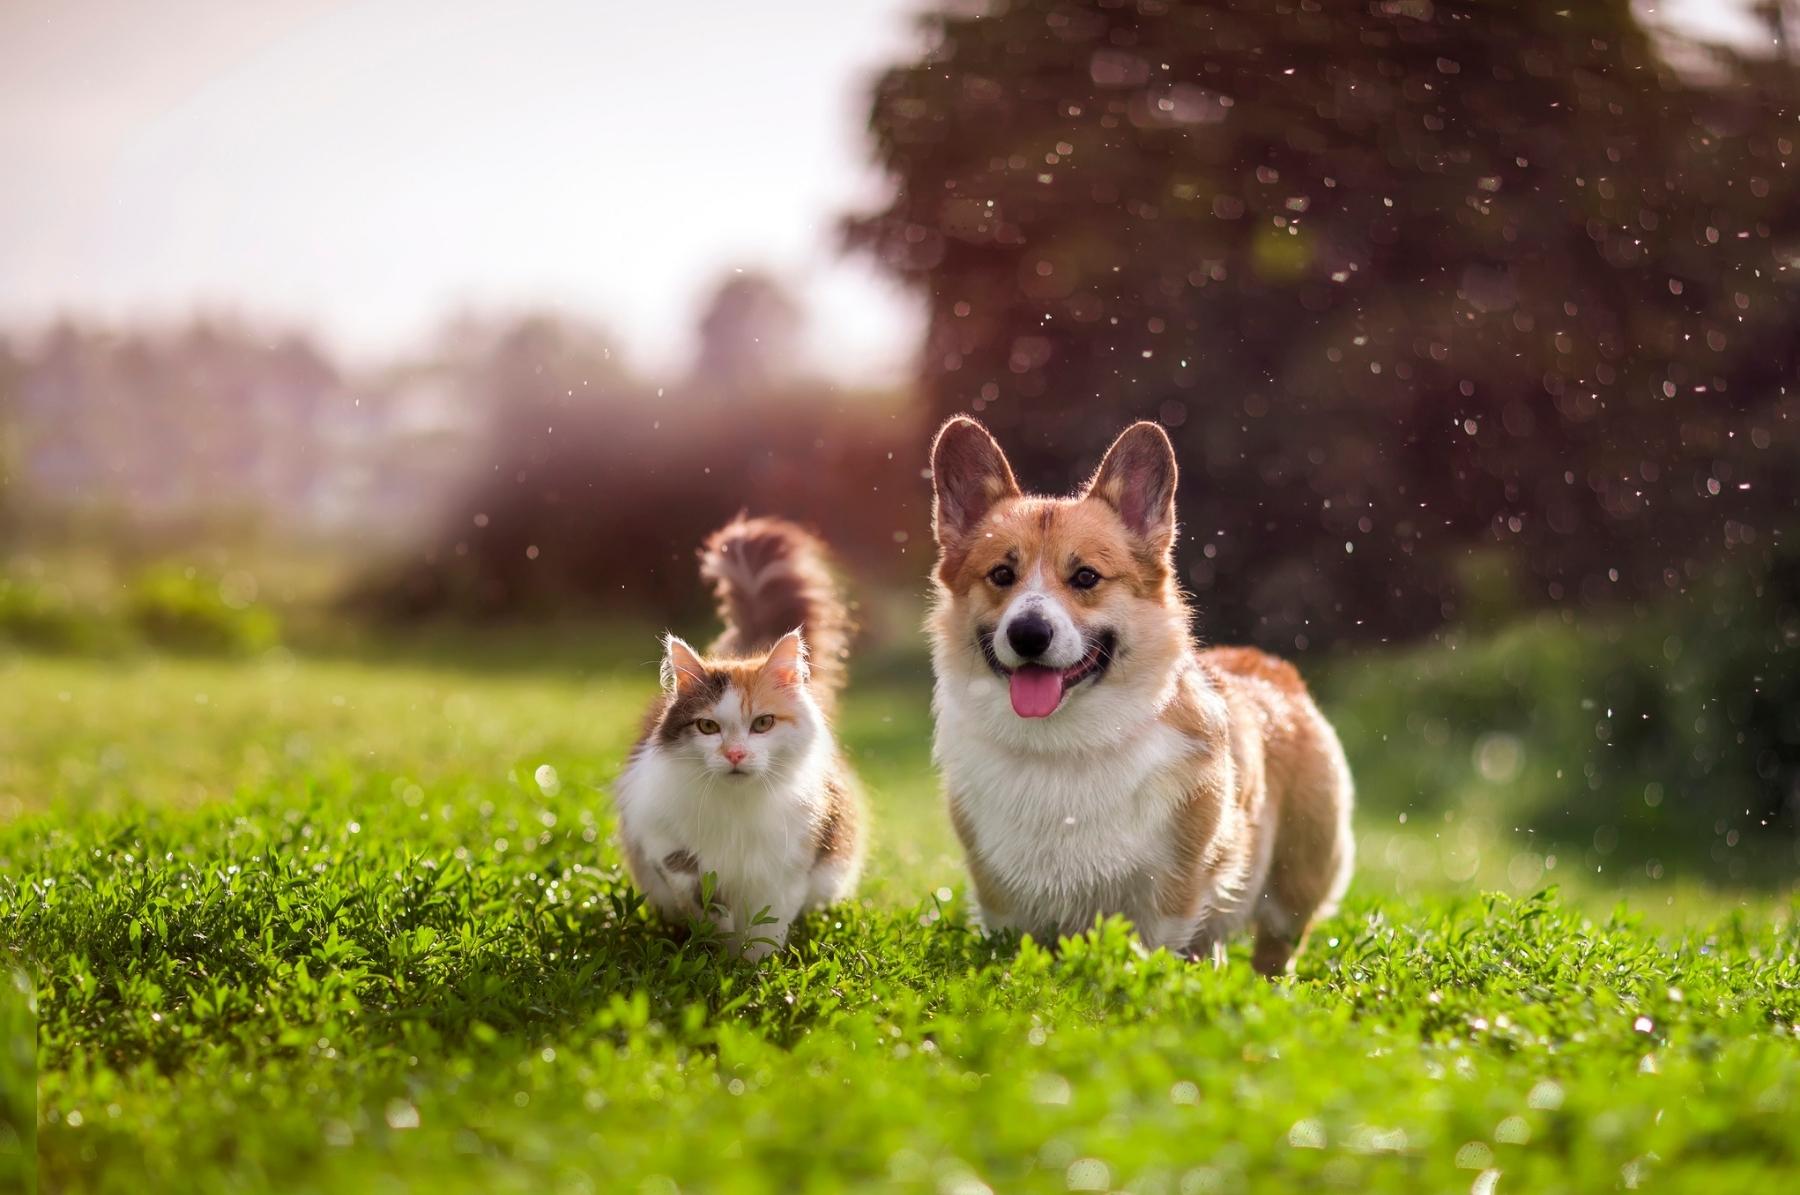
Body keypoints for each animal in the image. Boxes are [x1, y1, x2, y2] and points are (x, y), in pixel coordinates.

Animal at [612, 514, 864, 964]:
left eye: (762, 724)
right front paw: (719, 944)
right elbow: (694, 886)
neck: (737, 808)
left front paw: (752, 969)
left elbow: (767, 927)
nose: (734, 754)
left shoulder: (787, 866)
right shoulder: (656, 833)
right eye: (708, 728)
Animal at [928, 417, 1353, 971]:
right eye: (1002, 574)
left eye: (1086, 576)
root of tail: (1272, 667)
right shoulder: (1001, 899)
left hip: (1294, 886)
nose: (1028, 634)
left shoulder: (1172, 894)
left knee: (1274, 951)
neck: (1063, 745)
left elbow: (1155, 950)